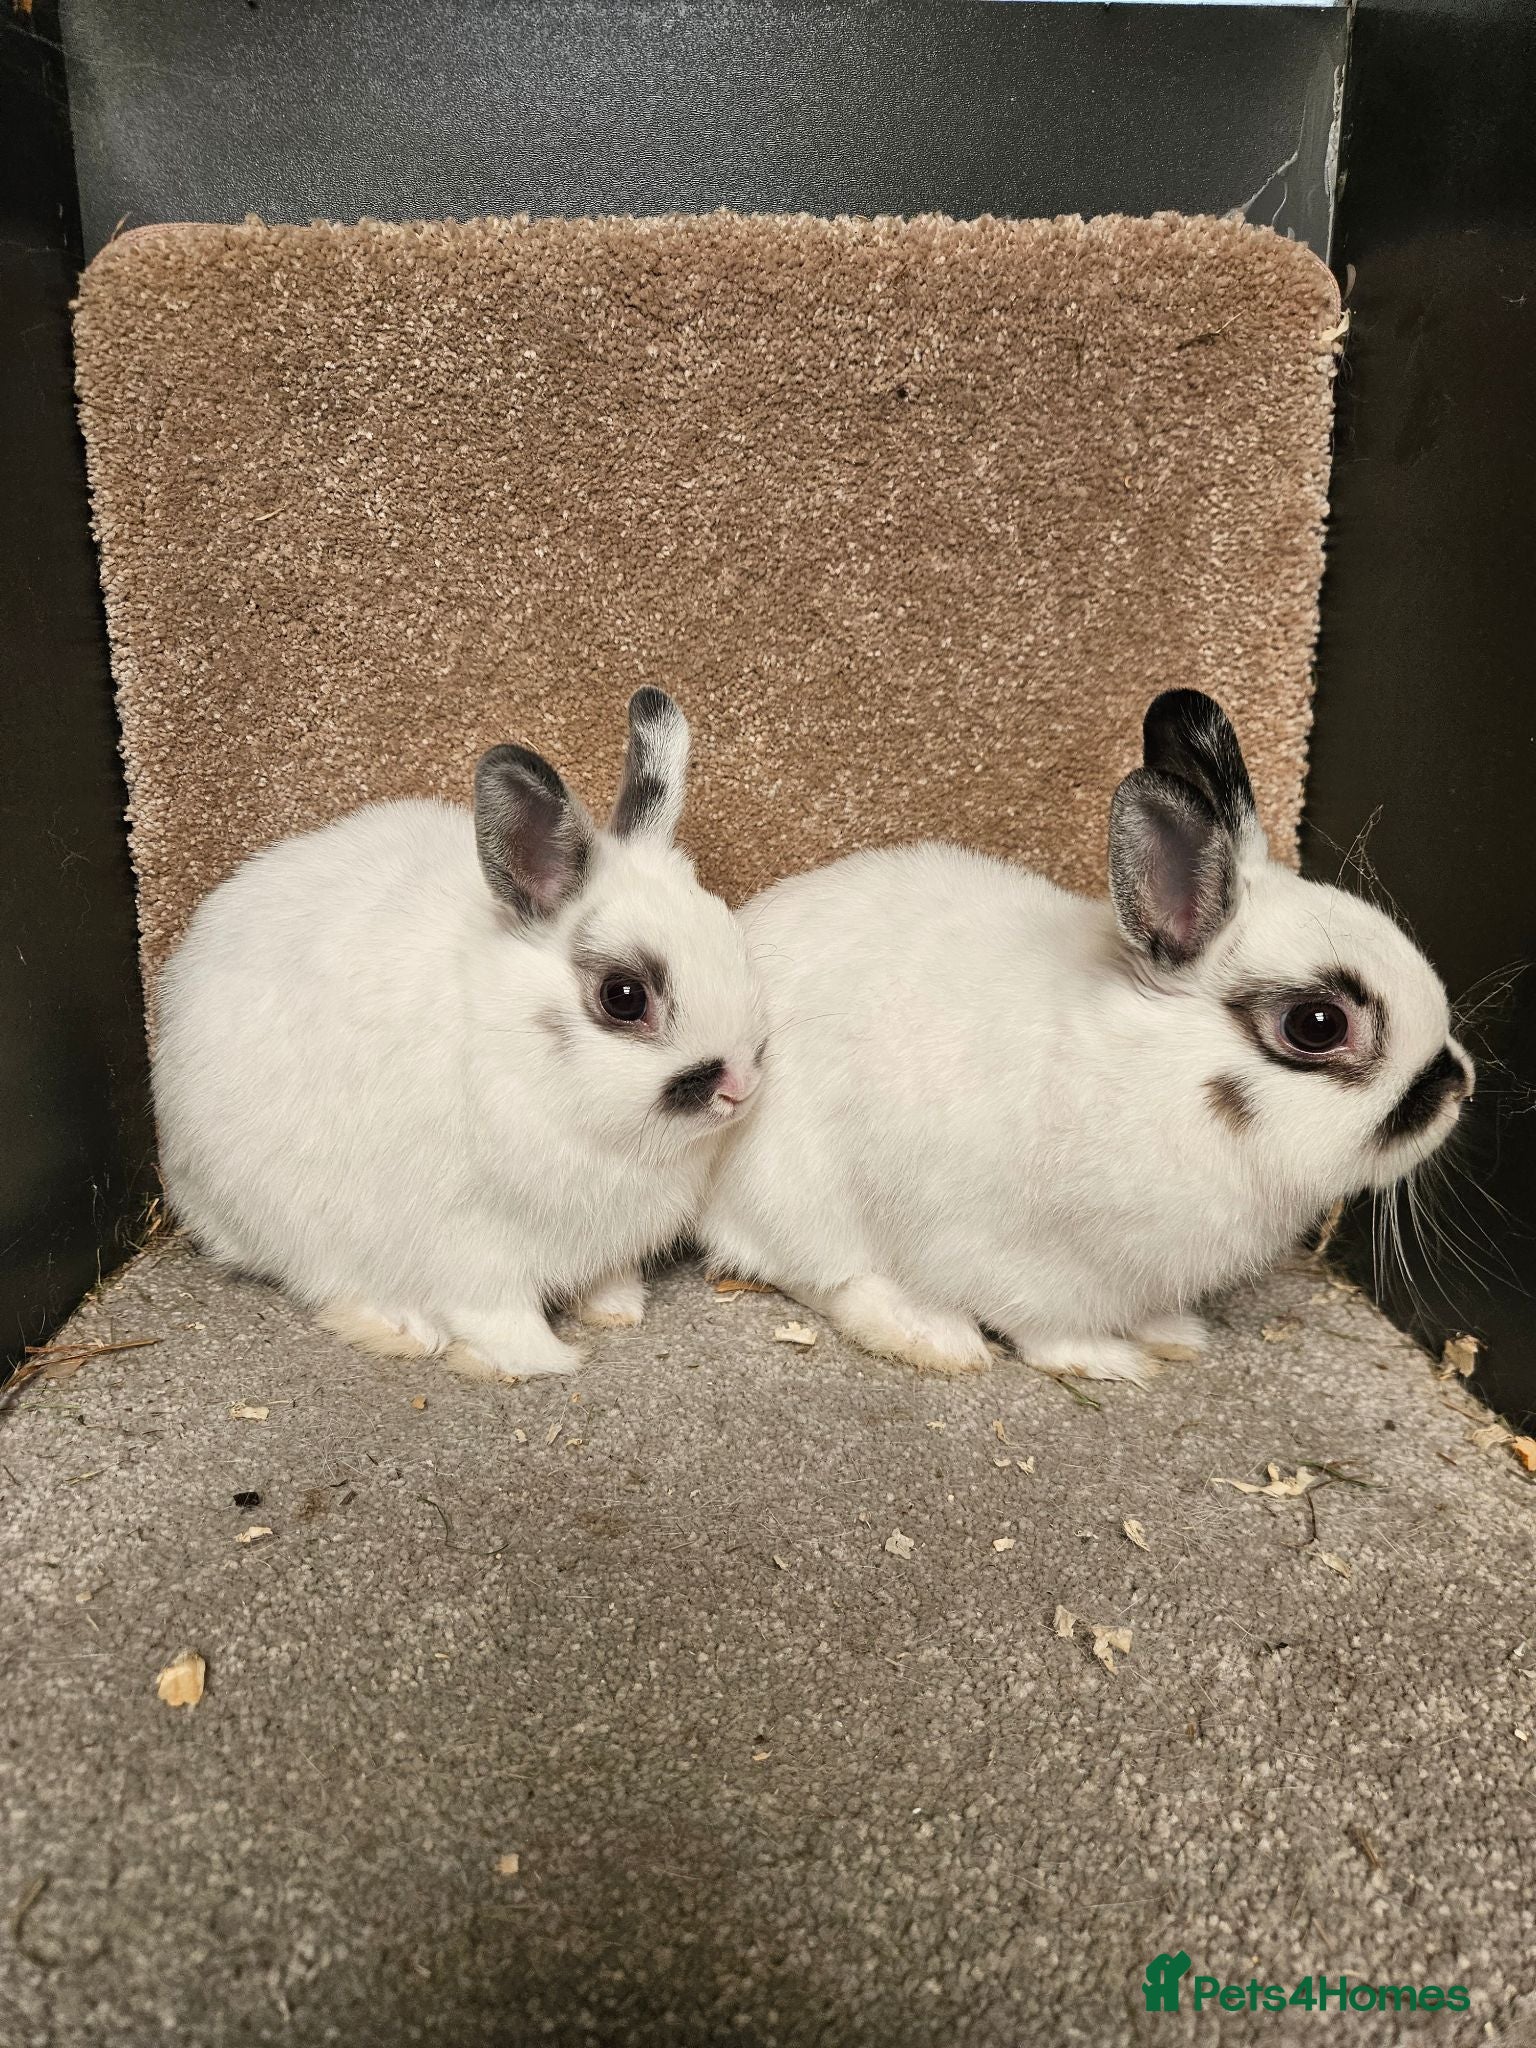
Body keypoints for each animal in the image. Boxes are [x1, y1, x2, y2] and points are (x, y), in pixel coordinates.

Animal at [154, 688, 766, 1379]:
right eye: (624, 997)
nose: (742, 1086)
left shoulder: (604, 1242)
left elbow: (605, 1275)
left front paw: (617, 1309)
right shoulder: (471, 1244)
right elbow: (497, 1313)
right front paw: (543, 1360)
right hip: (291, 1213)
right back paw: (401, 1328)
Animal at [700, 690, 1474, 1385]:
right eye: (1318, 1025)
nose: (1459, 1087)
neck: (1164, 1077)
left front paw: (1173, 1335)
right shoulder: (1027, 1261)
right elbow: (1047, 1329)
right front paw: (1109, 1361)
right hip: (799, 1194)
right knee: (820, 1276)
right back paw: (933, 1337)